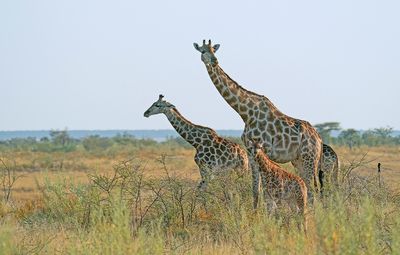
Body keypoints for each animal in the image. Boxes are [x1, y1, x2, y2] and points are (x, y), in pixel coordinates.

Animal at [194, 39, 328, 207]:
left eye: (213, 50)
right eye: (203, 51)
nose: (214, 61)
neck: (245, 112)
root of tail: (319, 139)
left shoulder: (257, 151)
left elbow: (259, 190)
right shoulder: (251, 151)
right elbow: (256, 191)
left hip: (309, 158)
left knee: (312, 190)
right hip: (299, 160)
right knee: (312, 188)